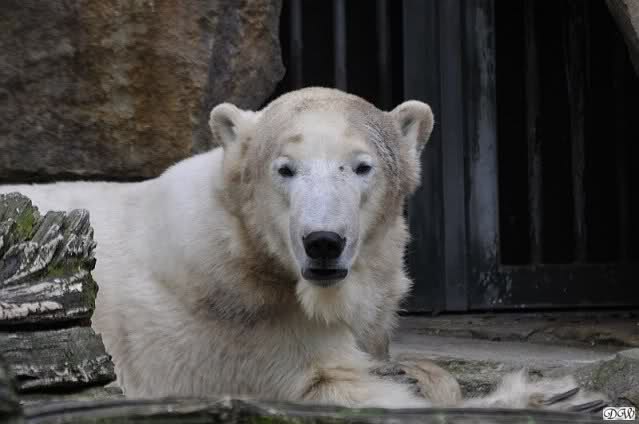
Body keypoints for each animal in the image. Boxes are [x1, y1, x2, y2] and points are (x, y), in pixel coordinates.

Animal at [1, 87, 605, 411]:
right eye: (285, 169)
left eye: (361, 166)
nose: (323, 242)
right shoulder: (239, 327)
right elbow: (333, 387)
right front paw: (554, 394)